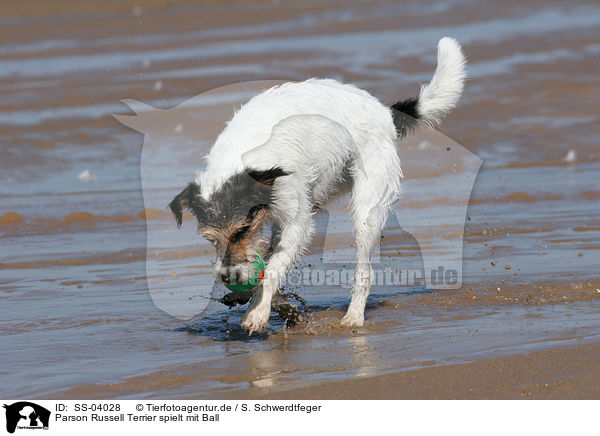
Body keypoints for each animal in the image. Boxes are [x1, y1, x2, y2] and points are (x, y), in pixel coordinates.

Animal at [170, 36, 468, 334]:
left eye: (241, 230)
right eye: (210, 238)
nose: (229, 276)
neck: (240, 159)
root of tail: (384, 112)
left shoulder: (296, 223)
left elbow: (273, 268)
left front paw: (257, 312)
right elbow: (267, 262)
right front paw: (272, 304)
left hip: (367, 209)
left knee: (365, 271)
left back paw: (354, 317)